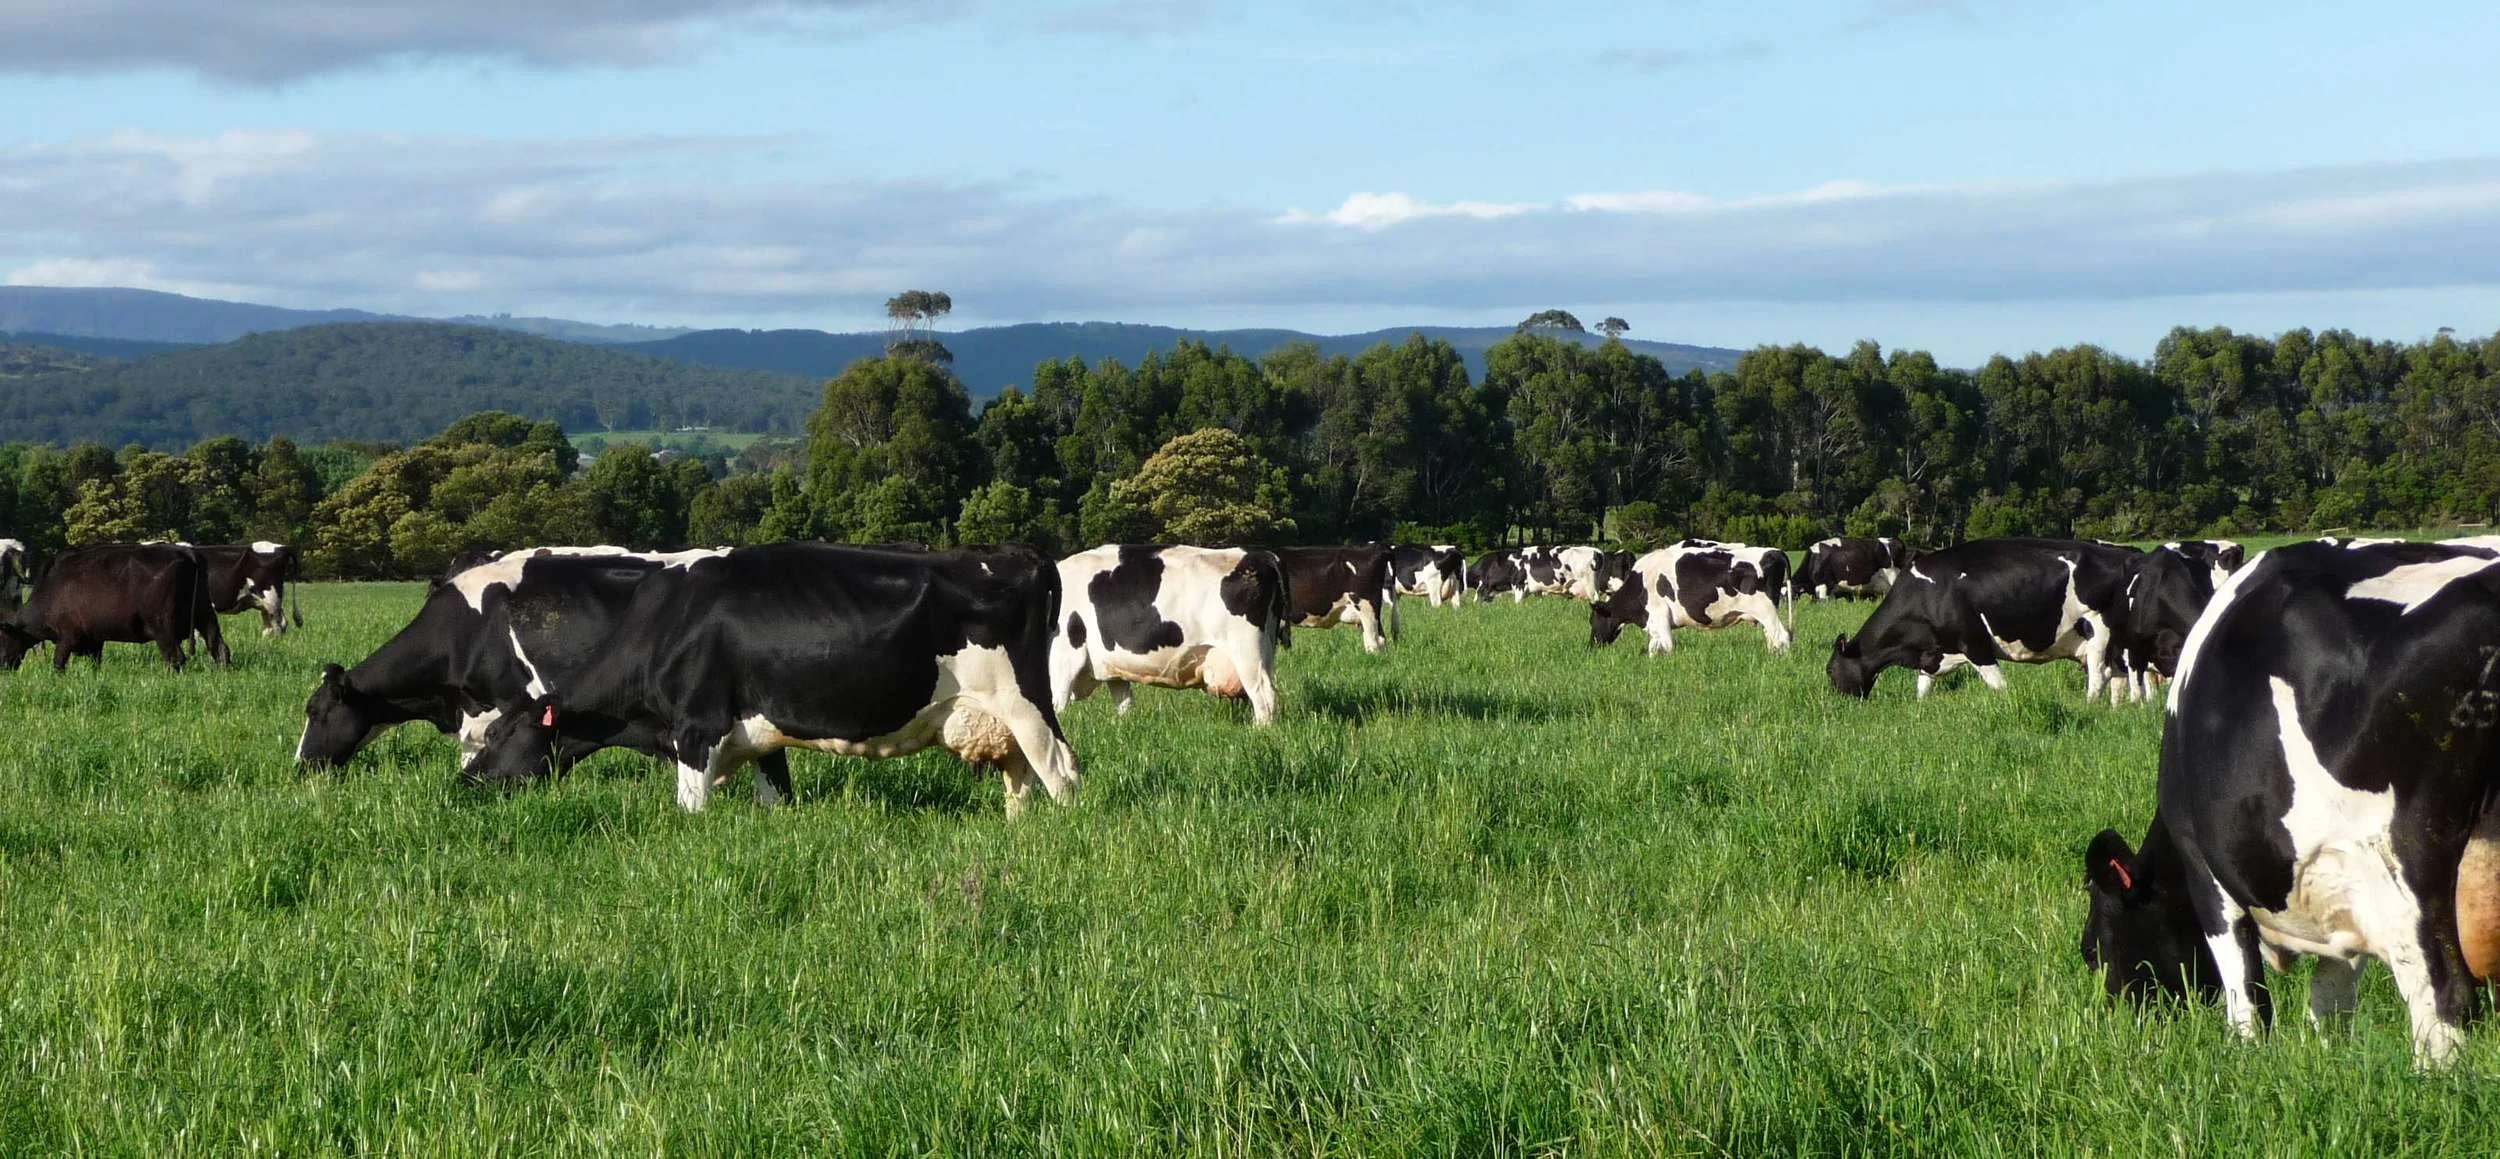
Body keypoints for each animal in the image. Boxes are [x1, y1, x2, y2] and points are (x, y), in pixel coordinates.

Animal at [0, 543, 228, 672]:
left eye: (1, 641)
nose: (3, 669)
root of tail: (186, 552)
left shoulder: (67, 635)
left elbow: (58, 663)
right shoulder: (94, 638)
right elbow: (95, 663)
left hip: (163, 626)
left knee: (175, 658)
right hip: (205, 613)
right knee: (219, 648)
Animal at [460, 543, 1079, 817]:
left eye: (498, 735)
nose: (464, 784)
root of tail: (1023, 557)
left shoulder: (696, 727)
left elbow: (691, 808)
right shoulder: (761, 732)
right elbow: (777, 797)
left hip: (1026, 704)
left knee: (1061, 772)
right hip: (1001, 719)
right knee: (1020, 779)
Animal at [1052, 545, 1289, 725]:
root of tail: (1261, 555)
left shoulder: (1064, 659)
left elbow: (1056, 706)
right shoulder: (1113, 668)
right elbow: (1125, 704)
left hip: (1246, 652)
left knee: (1264, 696)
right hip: (1265, 651)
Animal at [1590, 542, 1794, 655]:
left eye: (1592, 620)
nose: (1591, 646)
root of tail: (1774, 551)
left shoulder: (1658, 617)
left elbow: (1664, 646)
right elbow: (1654, 647)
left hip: (1766, 610)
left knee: (1781, 636)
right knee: (1772, 639)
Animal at [1827, 538, 2136, 701]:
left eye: (1830, 671)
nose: (1838, 703)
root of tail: (2125, 553)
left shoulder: (1974, 643)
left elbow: (1999, 685)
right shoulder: (1935, 653)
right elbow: (1923, 688)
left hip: (2097, 633)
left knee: (2099, 676)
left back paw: (2090, 705)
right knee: (2119, 677)